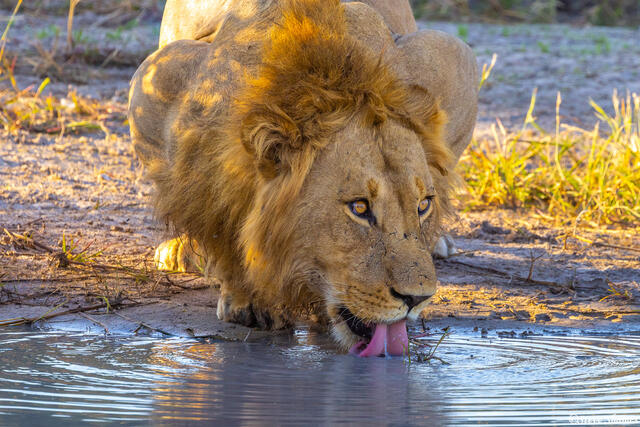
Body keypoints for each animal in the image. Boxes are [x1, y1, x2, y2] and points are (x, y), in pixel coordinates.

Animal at [128, 0, 477, 356]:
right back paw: (180, 251)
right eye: (360, 207)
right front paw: (248, 302)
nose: (417, 298)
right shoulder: (160, 78)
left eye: (423, 206)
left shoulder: (451, 56)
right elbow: (221, 223)